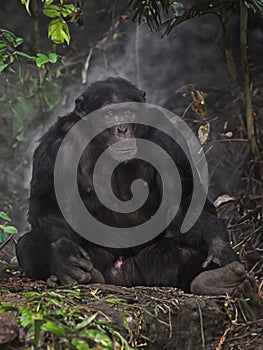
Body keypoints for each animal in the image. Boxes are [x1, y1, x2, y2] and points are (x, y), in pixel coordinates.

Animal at [16, 77, 252, 296]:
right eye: (109, 115)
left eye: (128, 112)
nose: (121, 128)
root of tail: (124, 275)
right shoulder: (56, 145)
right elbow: (48, 203)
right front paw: (65, 256)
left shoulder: (167, 137)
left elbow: (184, 197)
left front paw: (219, 245)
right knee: (26, 245)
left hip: (152, 262)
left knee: (185, 253)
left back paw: (217, 278)